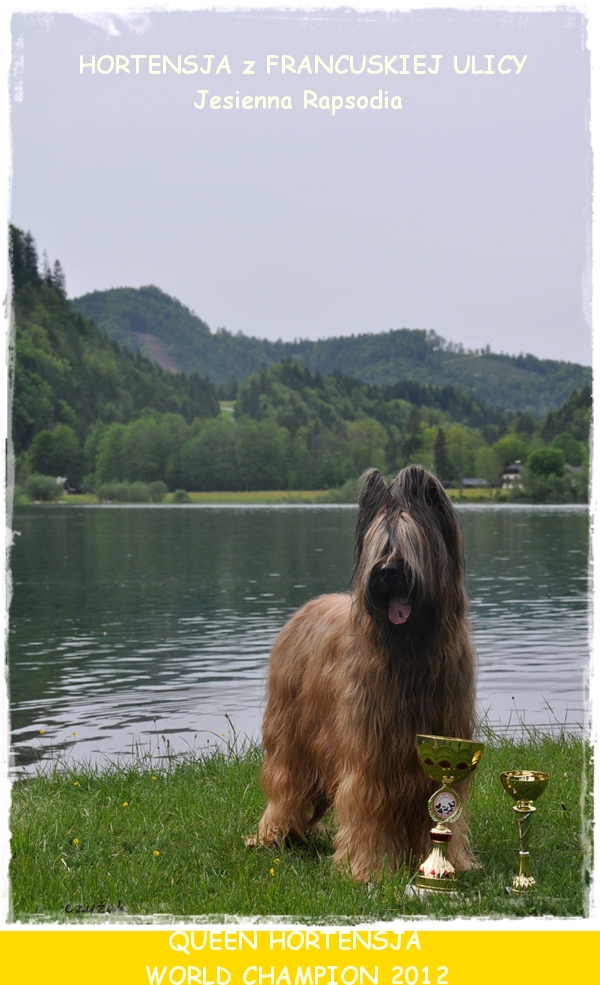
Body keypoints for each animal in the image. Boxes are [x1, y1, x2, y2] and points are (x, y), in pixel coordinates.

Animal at [252, 466, 474, 880]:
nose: (387, 572)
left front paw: (442, 864)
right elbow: (367, 806)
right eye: (379, 543)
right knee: (286, 784)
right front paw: (369, 869)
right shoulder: (370, 756)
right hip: (292, 737)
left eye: (408, 540)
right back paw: (276, 835)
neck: (409, 652)